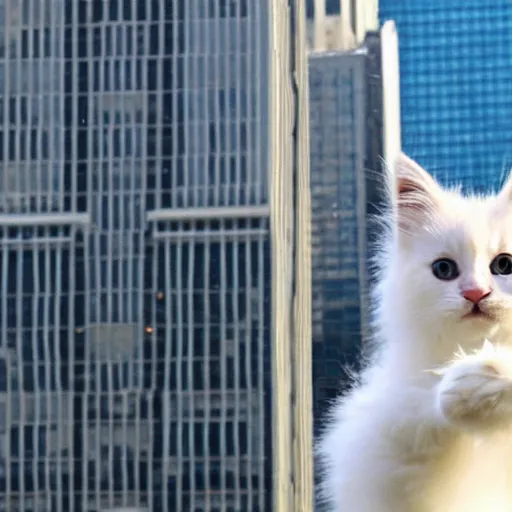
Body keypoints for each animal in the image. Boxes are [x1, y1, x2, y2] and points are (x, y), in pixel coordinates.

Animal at [318, 154, 512, 510]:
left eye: (504, 265)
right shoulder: (387, 452)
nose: (475, 294)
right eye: (444, 269)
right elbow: (423, 411)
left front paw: (478, 380)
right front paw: (456, 391)